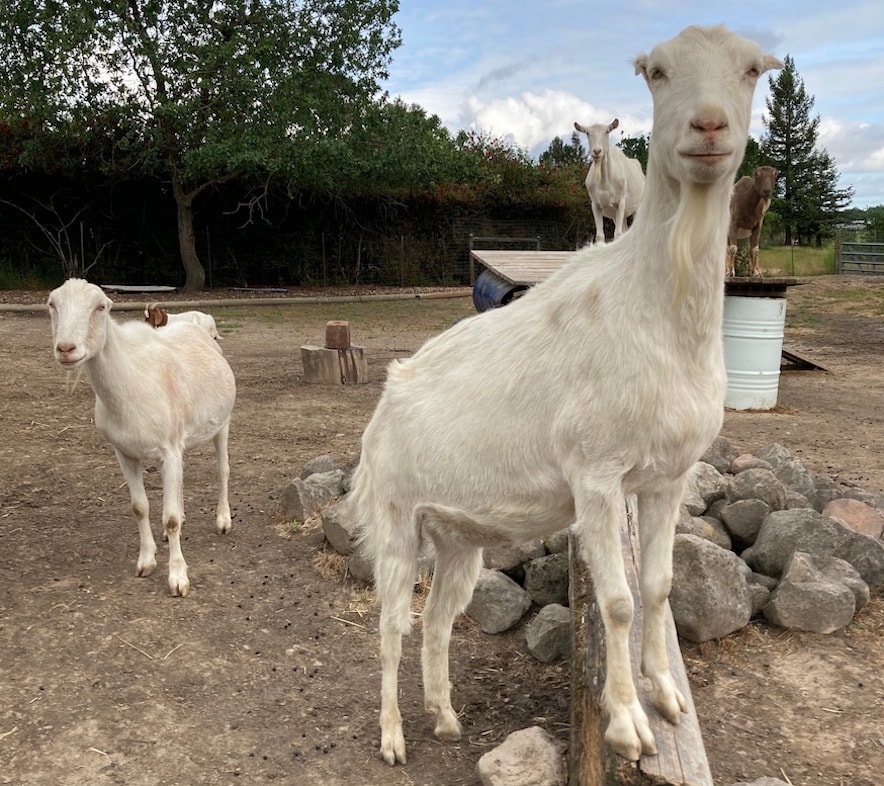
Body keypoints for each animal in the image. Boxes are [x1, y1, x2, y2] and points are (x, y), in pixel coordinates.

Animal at [48, 278, 235, 592]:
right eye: (52, 304)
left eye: (101, 306)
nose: (66, 349)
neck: (132, 381)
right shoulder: (125, 451)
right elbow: (139, 507)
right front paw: (146, 562)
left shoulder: (168, 448)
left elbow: (170, 519)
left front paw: (178, 578)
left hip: (222, 422)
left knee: (222, 469)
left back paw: (223, 521)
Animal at [352, 24, 780, 764]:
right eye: (656, 71)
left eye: (753, 69)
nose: (708, 127)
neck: (658, 316)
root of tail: (380, 411)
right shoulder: (596, 472)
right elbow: (618, 602)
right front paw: (628, 723)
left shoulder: (669, 475)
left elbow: (660, 587)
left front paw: (668, 696)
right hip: (396, 515)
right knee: (390, 625)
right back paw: (393, 737)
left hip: (459, 536)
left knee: (438, 618)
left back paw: (445, 716)